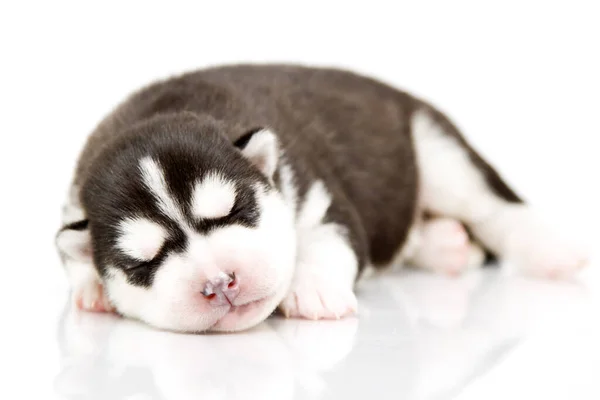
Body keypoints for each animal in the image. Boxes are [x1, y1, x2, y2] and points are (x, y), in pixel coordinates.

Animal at [54, 64, 588, 332]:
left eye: (237, 211)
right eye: (143, 263)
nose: (220, 282)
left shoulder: (320, 196)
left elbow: (327, 241)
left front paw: (312, 288)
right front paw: (91, 286)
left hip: (436, 149)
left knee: (493, 207)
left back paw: (551, 252)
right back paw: (446, 245)